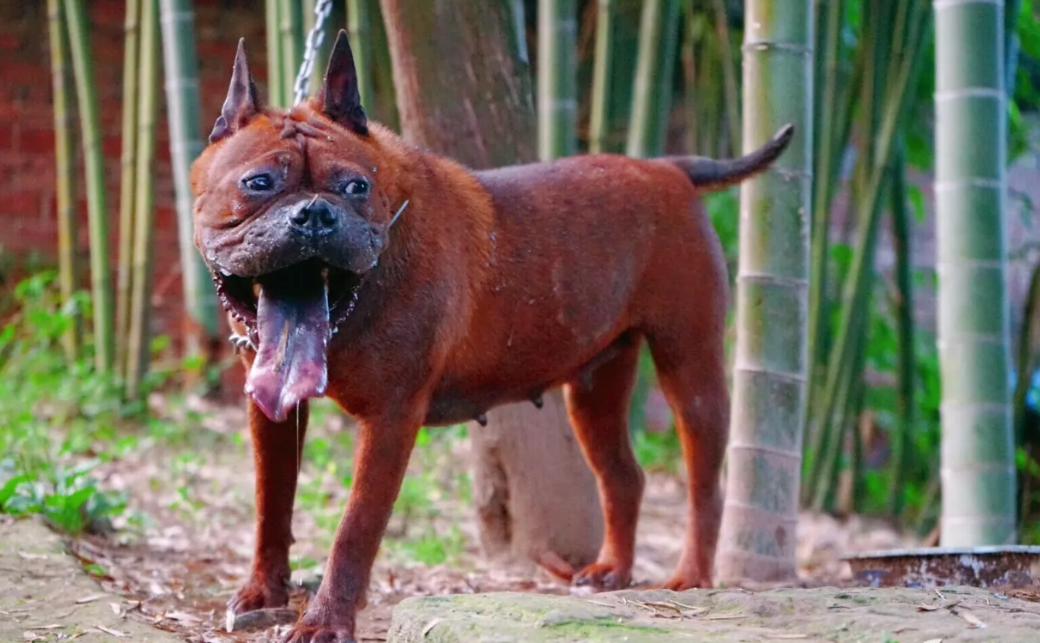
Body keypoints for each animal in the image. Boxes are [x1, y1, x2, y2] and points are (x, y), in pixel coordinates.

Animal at [191, 31, 790, 640]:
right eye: (258, 184)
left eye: (356, 187)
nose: (315, 215)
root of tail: (667, 169)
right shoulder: (271, 413)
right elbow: (272, 502)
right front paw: (264, 591)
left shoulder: (390, 421)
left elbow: (354, 528)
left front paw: (326, 620)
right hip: (596, 391)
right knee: (624, 477)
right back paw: (612, 571)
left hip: (689, 368)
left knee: (703, 484)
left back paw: (692, 575)